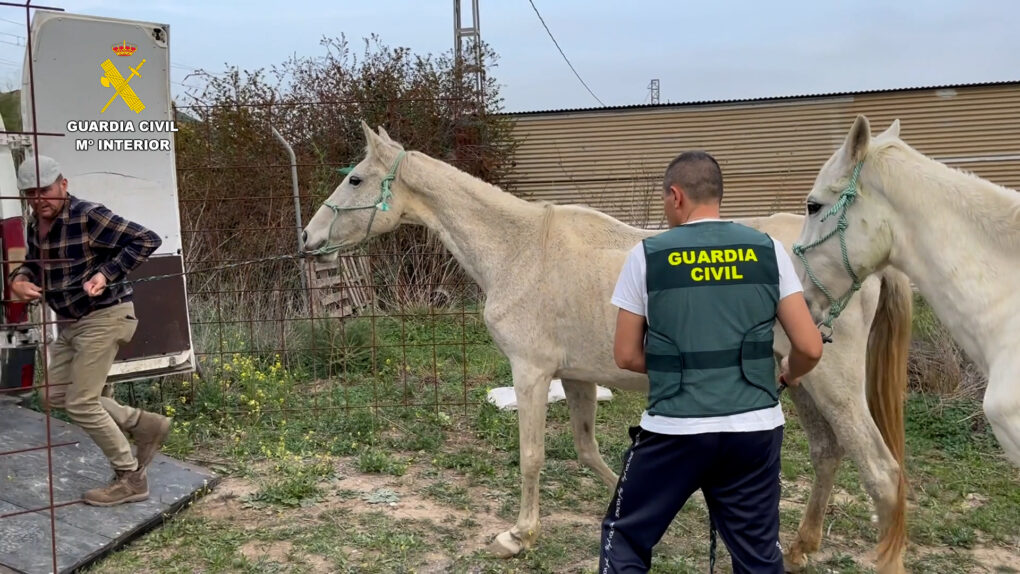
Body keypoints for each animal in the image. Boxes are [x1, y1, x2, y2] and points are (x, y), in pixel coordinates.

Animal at [301, 119, 918, 570]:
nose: (308, 238)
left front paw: (519, 536)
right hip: (803, 380)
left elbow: (533, 456)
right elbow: (589, 451)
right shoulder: (576, 377)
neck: (520, 248)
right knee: (828, 453)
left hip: (834, 385)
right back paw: (800, 548)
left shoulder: (530, 372)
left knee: (879, 472)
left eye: (355, 179)